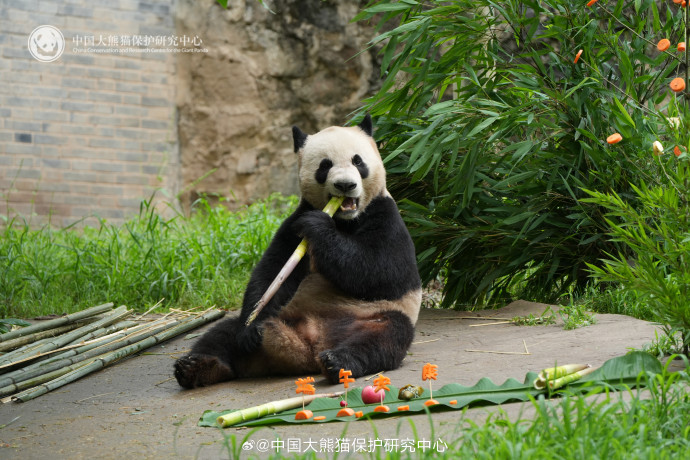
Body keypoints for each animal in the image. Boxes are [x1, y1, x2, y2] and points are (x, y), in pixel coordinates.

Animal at [174, 115, 422, 388]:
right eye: (325, 165)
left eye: (358, 161)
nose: (345, 185)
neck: (344, 219)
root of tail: (309, 347)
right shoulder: (294, 222)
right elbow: (272, 271)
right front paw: (250, 328)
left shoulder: (387, 216)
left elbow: (382, 271)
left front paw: (318, 226)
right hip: (286, 314)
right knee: (223, 333)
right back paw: (199, 366)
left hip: (375, 315)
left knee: (383, 338)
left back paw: (337, 362)